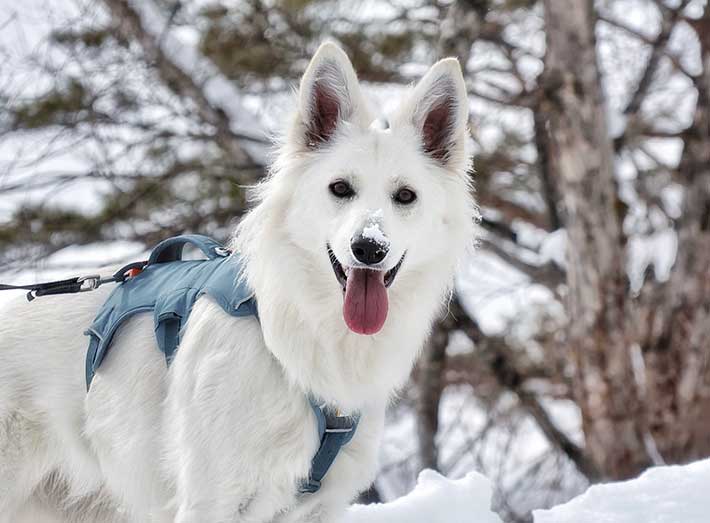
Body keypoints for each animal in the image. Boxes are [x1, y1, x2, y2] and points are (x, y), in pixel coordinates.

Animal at [1, 43, 478, 520]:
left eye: (405, 196)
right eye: (340, 188)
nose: (369, 249)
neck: (300, 332)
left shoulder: (319, 507)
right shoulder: (210, 500)